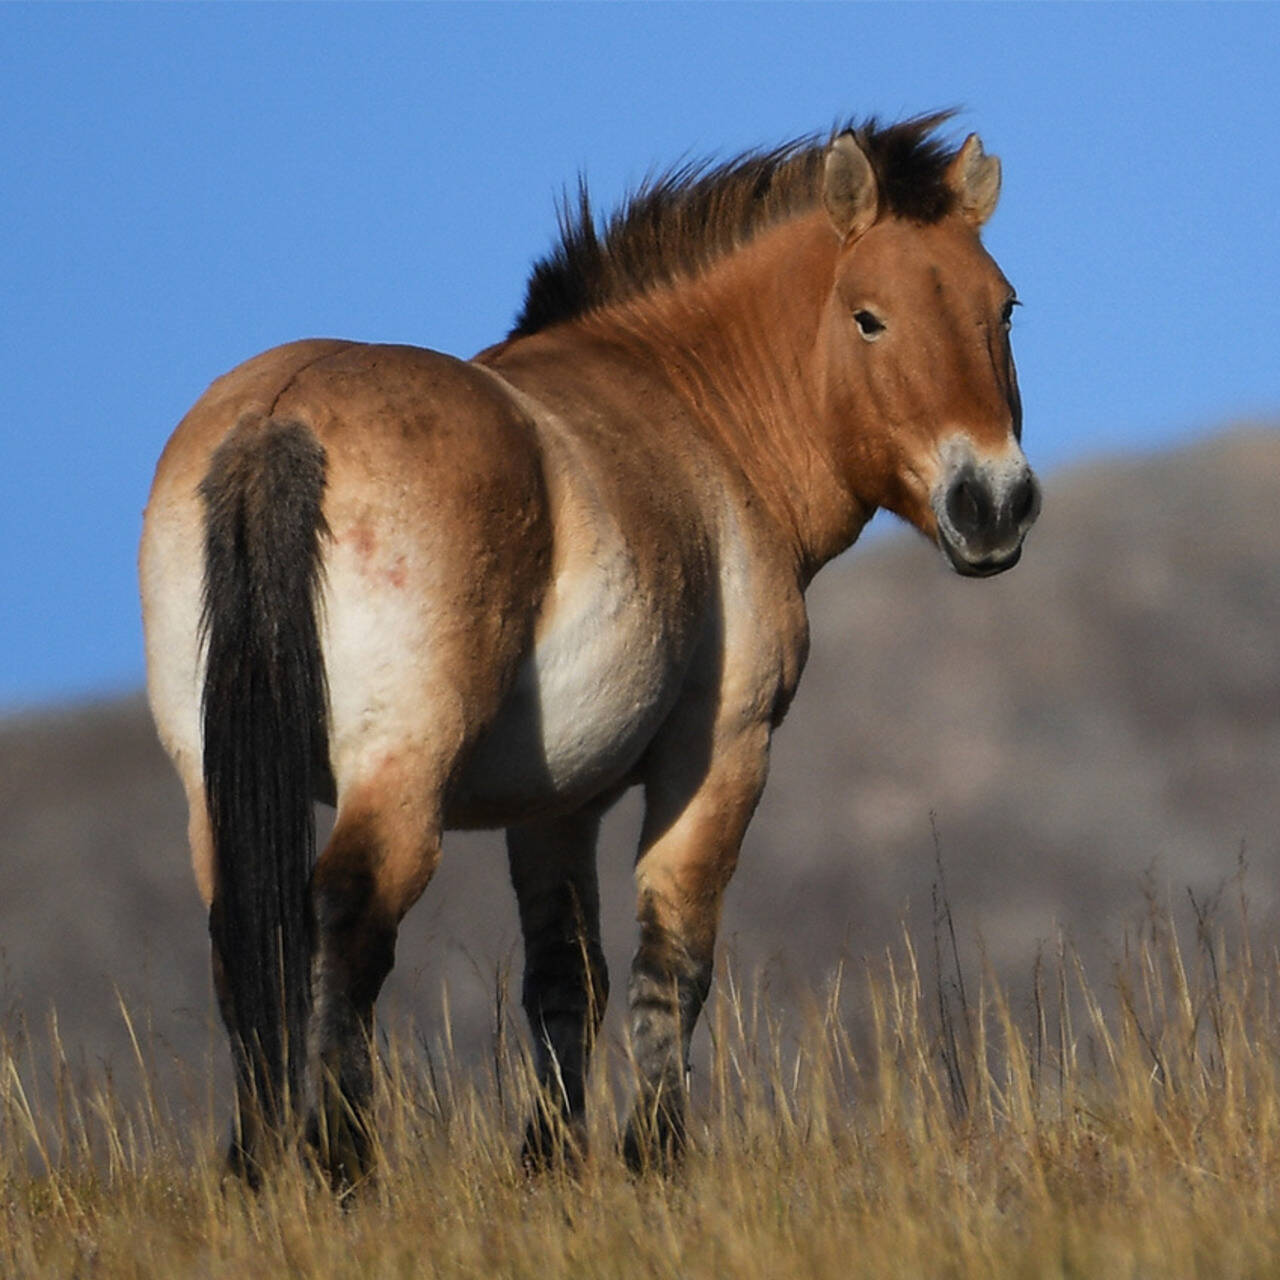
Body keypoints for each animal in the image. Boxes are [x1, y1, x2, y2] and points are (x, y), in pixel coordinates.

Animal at [140, 115, 1039, 1182]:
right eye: (870, 319)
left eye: (1004, 310)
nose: (994, 505)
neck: (696, 414)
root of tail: (282, 414)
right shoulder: (719, 755)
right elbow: (671, 960)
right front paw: (653, 1153)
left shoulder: (555, 804)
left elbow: (567, 979)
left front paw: (550, 1161)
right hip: (399, 772)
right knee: (348, 916)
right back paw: (340, 1160)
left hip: (212, 781)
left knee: (249, 930)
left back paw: (256, 1163)